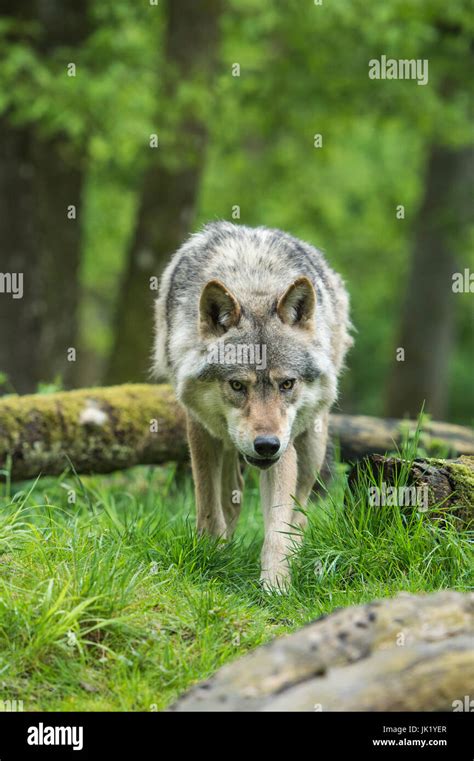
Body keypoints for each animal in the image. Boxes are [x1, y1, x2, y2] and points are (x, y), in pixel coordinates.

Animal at [153, 220, 352, 588]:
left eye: (286, 384)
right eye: (237, 385)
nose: (266, 445)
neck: (253, 288)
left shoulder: (285, 448)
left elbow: (277, 526)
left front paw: (276, 584)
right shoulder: (200, 430)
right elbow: (208, 504)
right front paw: (210, 552)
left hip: (312, 442)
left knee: (301, 509)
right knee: (232, 495)